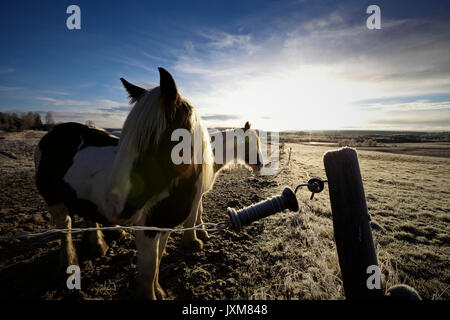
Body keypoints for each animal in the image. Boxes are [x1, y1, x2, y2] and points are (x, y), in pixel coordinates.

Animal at [35, 67, 264, 300]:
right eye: (251, 142)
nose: (261, 164)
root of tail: (53, 134)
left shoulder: (167, 221)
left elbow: (157, 261)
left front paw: (161, 290)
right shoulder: (149, 226)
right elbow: (152, 263)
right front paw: (195, 240)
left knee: (89, 217)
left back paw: (100, 244)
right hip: (54, 201)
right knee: (65, 228)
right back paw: (70, 266)